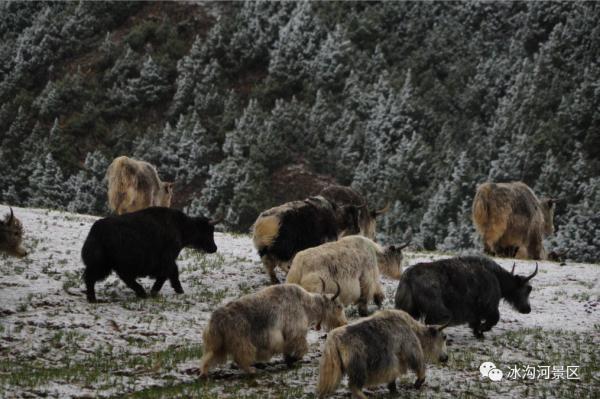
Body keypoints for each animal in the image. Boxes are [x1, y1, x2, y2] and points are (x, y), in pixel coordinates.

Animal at [81, 206, 218, 304]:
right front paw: (161, 291)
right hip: (105, 265)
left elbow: (171, 273)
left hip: (106, 264)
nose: (214, 248)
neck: (181, 226)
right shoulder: (167, 259)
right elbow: (169, 273)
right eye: (209, 231)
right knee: (93, 278)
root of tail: (96, 230)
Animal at [199, 282, 344, 376]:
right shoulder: (295, 333)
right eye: (339, 306)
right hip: (241, 342)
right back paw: (252, 370)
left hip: (217, 345)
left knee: (208, 358)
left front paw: (289, 359)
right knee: (241, 358)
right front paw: (294, 359)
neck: (306, 304)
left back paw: (204, 374)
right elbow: (302, 347)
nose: (343, 323)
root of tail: (216, 320)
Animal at [316, 308, 448, 398]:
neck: (414, 330)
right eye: (444, 337)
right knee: (354, 386)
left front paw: (394, 390)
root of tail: (333, 339)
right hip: (359, 367)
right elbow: (418, 365)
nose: (446, 357)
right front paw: (417, 383)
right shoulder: (410, 348)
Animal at [396, 258, 536, 340]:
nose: (528, 309)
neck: (497, 277)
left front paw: (478, 333)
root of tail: (409, 276)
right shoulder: (489, 305)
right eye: (529, 288)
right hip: (438, 310)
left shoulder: (475, 311)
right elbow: (494, 319)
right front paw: (481, 331)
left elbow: (476, 322)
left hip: (407, 308)